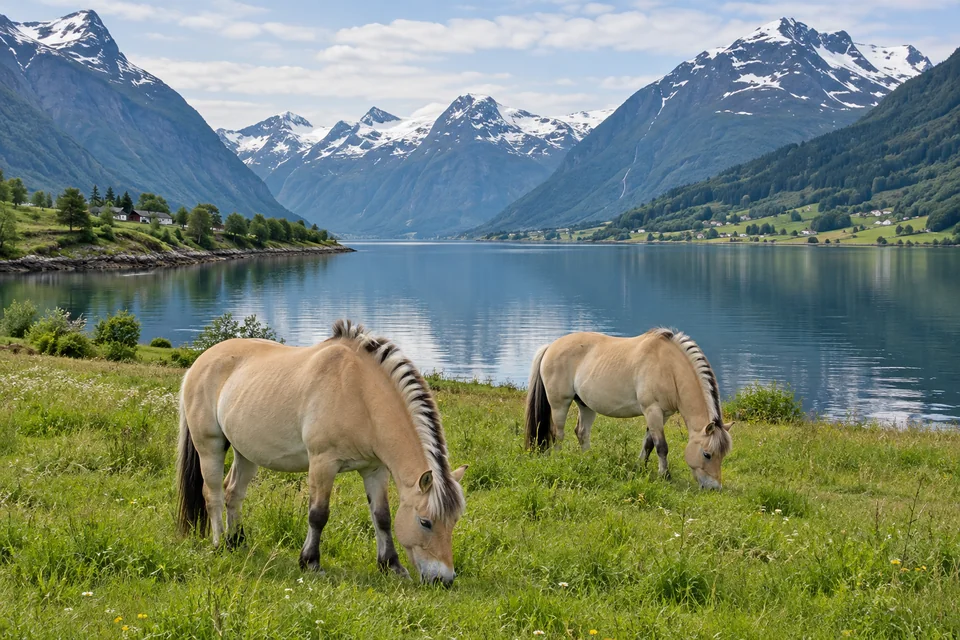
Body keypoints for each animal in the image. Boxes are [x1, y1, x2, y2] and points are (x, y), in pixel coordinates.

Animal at [176, 320, 468, 585]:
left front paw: (391, 566)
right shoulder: (322, 463)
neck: (359, 392)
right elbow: (318, 515)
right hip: (209, 445)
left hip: (246, 453)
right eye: (425, 522)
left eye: (454, 521)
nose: (444, 579)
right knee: (212, 493)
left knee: (233, 492)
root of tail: (200, 362)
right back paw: (219, 543)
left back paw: (237, 541)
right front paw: (310, 563)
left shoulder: (374, 469)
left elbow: (382, 517)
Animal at [524, 328, 732, 489]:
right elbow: (661, 446)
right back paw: (558, 458)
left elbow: (649, 443)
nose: (714, 488)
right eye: (707, 454)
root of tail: (551, 346)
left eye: (723, 455)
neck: (668, 367)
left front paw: (640, 467)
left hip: (585, 405)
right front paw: (664, 475)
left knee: (582, 432)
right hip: (560, 404)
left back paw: (589, 459)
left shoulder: (662, 415)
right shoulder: (652, 410)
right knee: (557, 433)